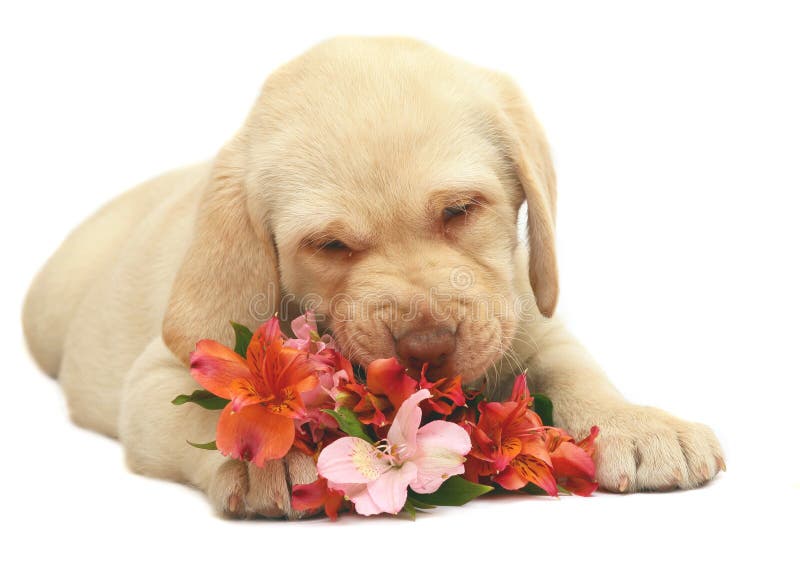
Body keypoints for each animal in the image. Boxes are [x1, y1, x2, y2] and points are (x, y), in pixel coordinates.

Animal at [23, 36, 724, 516]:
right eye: (330, 245)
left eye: (460, 210)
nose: (426, 349)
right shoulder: (155, 381)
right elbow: (199, 420)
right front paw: (271, 457)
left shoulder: (528, 318)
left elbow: (577, 372)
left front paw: (637, 423)